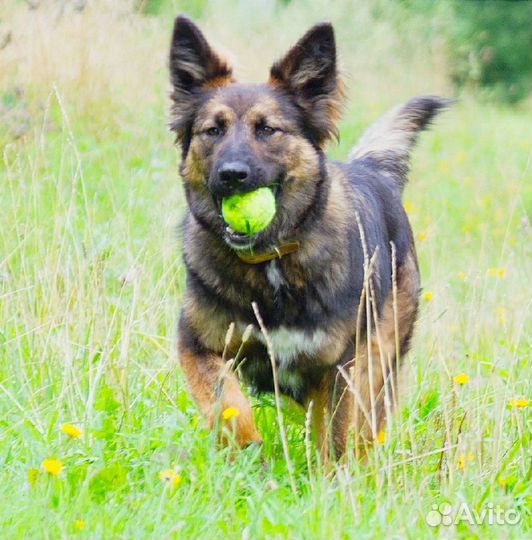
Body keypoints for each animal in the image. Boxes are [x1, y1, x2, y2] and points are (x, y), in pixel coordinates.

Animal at [169, 14, 448, 458]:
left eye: (268, 129)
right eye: (213, 130)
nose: (231, 175)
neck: (271, 265)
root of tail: (371, 169)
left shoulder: (340, 367)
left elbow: (336, 439)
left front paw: (333, 477)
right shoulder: (197, 343)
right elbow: (226, 404)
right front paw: (249, 451)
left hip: (379, 358)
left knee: (366, 426)